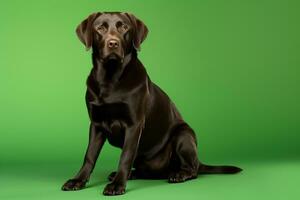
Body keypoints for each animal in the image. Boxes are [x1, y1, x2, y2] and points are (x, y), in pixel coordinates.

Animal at [62, 12, 243, 195]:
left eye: (124, 27)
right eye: (100, 28)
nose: (113, 43)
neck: (110, 79)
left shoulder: (134, 125)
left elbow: (125, 156)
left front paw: (117, 185)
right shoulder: (96, 124)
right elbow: (89, 156)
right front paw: (78, 180)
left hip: (183, 135)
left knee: (192, 169)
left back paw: (179, 174)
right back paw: (130, 174)